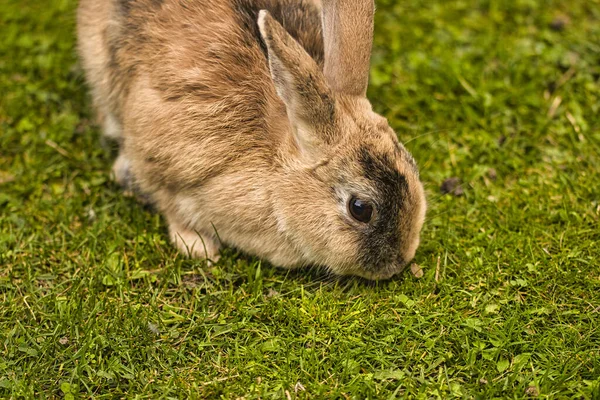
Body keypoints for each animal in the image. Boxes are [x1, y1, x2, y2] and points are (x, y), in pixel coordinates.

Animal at [77, 0, 426, 282]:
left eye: (414, 168)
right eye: (360, 209)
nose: (398, 262)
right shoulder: (160, 164)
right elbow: (167, 202)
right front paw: (199, 247)